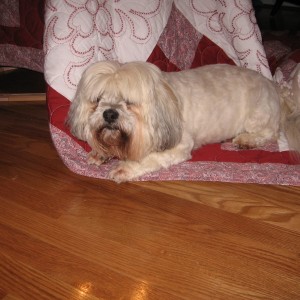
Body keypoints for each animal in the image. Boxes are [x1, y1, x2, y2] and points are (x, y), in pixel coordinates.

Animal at [67, 61, 298, 180]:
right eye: (97, 100)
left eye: (129, 102)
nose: (109, 113)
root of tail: (273, 86)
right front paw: (101, 152)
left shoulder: (178, 145)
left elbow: (147, 157)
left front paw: (125, 167)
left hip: (257, 116)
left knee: (270, 132)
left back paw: (246, 140)